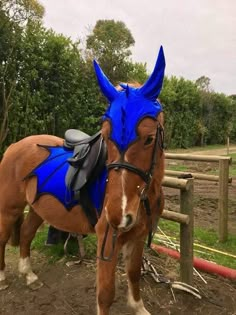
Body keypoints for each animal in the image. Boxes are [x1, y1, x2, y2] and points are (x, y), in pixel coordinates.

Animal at [0, 47, 166, 315]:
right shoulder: (107, 240)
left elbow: (133, 274)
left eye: (149, 138)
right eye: (106, 136)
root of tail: (14, 146)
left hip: (37, 207)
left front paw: (138, 306)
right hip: (9, 208)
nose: (118, 216)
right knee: (3, 237)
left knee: (25, 234)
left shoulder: (138, 236)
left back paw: (29, 275)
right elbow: (106, 294)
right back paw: (3, 277)